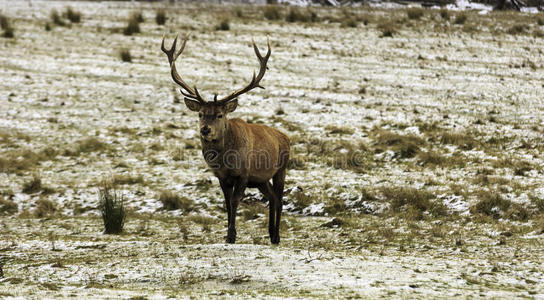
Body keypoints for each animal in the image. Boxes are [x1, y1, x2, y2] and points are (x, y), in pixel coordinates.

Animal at [160, 35, 292, 245]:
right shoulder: (221, 176)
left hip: (282, 168)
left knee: (279, 198)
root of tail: (286, 137)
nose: (205, 129)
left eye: (220, 114)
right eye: (200, 114)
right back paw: (271, 233)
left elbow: (235, 201)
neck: (225, 161)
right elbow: (227, 203)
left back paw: (277, 235)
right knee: (271, 197)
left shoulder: (243, 173)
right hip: (261, 179)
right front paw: (228, 234)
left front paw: (231, 235)